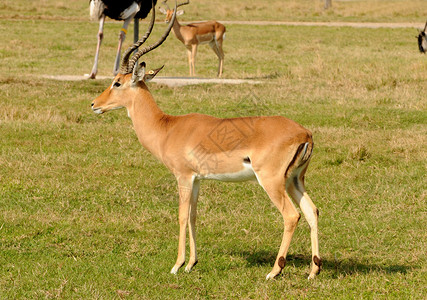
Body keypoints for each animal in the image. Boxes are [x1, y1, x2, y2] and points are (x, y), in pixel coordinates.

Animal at [92, 1, 322, 280]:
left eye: (117, 83)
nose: (94, 104)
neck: (167, 127)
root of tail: (304, 133)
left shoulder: (182, 176)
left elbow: (181, 216)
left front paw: (177, 265)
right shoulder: (197, 179)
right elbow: (193, 216)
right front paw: (191, 263)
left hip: (272, 181)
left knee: (291, 215)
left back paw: (274, 271)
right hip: (295, 180)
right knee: (312, 211)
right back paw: (313, 270)